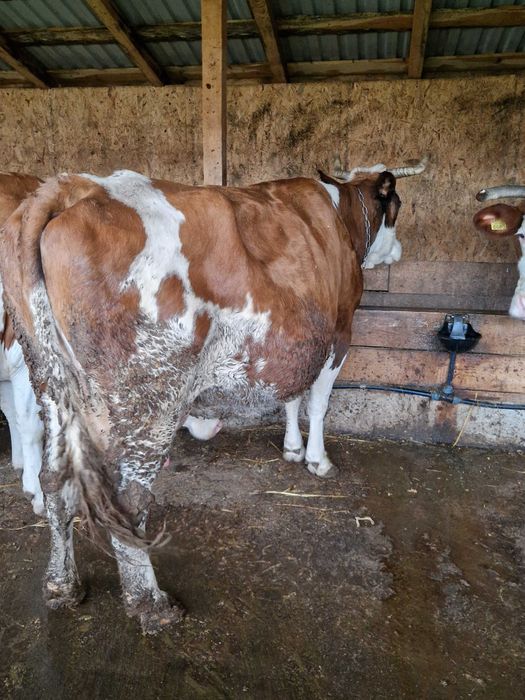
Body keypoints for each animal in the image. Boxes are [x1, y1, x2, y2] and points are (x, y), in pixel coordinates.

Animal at [0, 160, 425, 632]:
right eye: (396, 204)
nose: (399, 251)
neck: (342, 212)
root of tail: (73, 187)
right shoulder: (339, 332)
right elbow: (316, 403)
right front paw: (318, 459)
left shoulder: (295, 343)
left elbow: (291, 397)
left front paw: (293, 449)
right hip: (150, 398)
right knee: (128, 500)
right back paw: (151, 604)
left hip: (50, 383)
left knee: (54, 480)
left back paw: (62, 586)